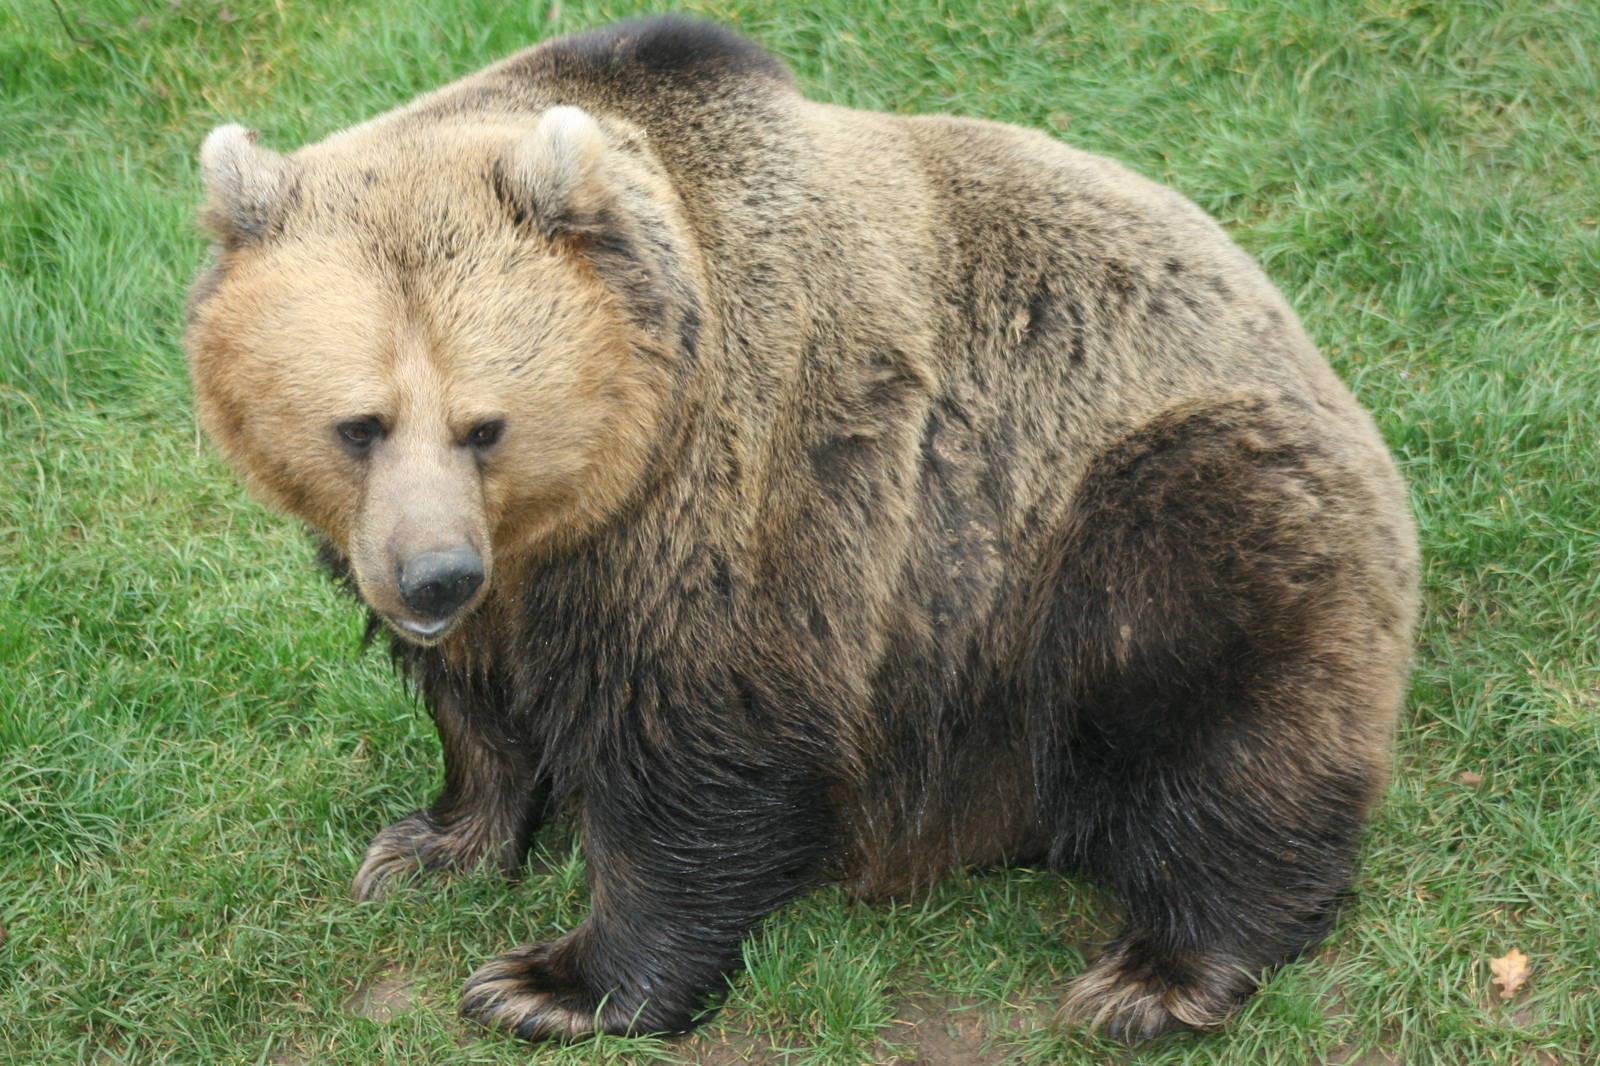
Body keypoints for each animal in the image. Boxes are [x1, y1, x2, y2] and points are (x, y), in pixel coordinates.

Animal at [184, 15, 1419, 1044]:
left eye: (483, 423)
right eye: (358, 424)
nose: (433, 577)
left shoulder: (749, 501)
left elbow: (698, 754)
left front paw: (549, 983)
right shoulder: (506, 573)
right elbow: (478, 708)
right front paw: (432, 845)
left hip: (1128, 510)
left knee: (1211, 686)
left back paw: (1158, 973)